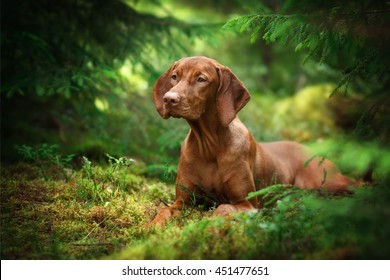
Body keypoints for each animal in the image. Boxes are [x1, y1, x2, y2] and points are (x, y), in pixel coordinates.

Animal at [150, 56, 356, 225]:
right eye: (174, 77)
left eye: (201, 79)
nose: (169, 99)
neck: (209, 146)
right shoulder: (183, 201)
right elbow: (164, 210)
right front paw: (152, 226)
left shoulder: (247, 204)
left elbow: (223, 208)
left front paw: (209, 226)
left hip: (326, 180)